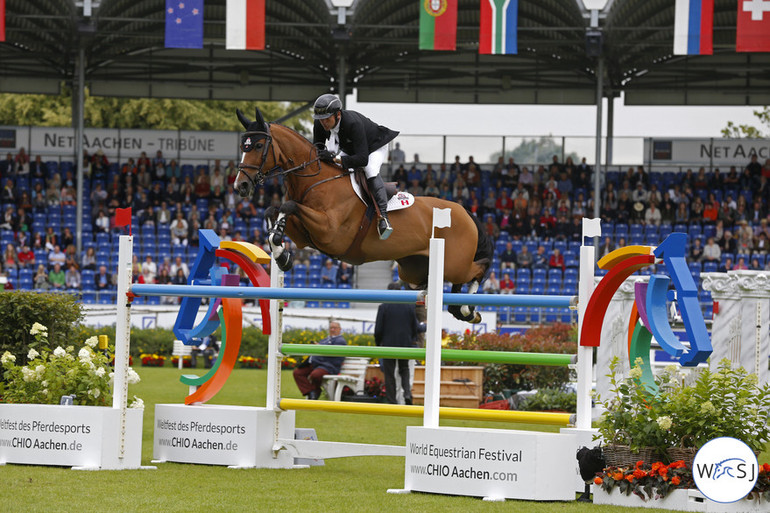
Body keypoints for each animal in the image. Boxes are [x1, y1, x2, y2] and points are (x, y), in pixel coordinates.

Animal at [231, 108, 492, 322]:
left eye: (257, 146)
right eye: (243, 146)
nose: (240, 186)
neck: (316, 180)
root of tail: (466, 212)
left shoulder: (330, 232)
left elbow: (288, 206)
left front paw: (280, 251)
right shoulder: (305, 236)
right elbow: (274, 210)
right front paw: (281, 254)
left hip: (455, 263)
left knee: (478, 268)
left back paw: (469, 309)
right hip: (411, 269)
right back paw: (457, 307)